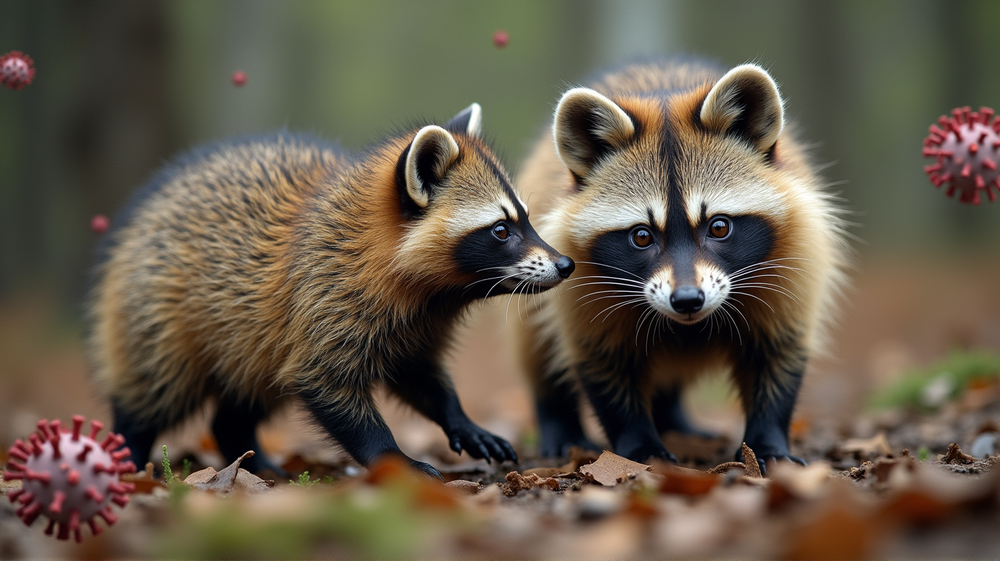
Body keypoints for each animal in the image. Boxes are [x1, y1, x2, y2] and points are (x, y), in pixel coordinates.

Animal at [87, 104, 575, 479]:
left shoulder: (411, 327)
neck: (437, 294)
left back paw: (249, 459)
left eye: (525, 219)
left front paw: (457, 415)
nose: (566, 264)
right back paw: (130, 448)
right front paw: (390, 455)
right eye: (501, 230)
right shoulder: (322, 298)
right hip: (157, 316)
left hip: (249, 342)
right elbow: (325, 383)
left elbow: (420, 376)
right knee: (154, 389)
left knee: (238, 407)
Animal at [516, 59, 849, 470]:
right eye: (642, 236)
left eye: (719, 227)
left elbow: (778, 354)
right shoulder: (582, 283)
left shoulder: (793, 258)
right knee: (539, 350)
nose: (688, 299)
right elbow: (602, 364)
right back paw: (559, 422)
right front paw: (638, 443)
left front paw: (768, 439)